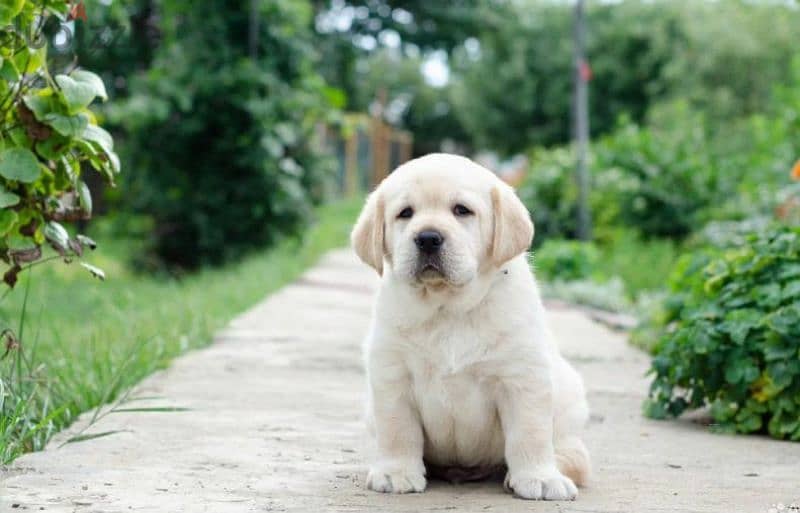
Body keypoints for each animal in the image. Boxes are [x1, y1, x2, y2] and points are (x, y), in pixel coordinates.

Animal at [354, 152, 592, 500]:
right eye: (405, 213)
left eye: (461, 210)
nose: (427, 238)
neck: (448, 309)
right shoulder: (392, 374)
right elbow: (398, 429)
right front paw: (396, 472)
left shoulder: (523, 377)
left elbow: (530, 432)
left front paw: (539, 477)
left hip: (569, 400)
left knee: (574, 456)